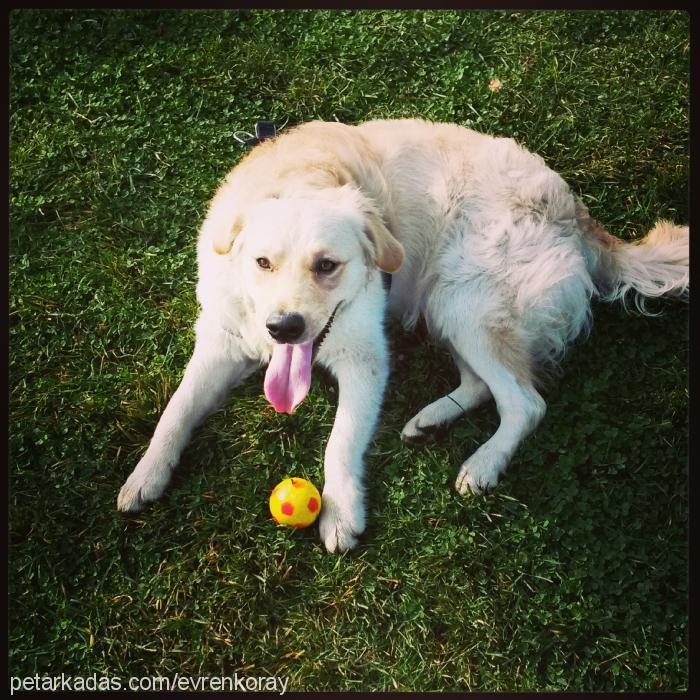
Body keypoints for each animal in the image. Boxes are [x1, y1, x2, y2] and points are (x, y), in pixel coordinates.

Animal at [116, 119, 688, 552]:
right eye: (262, 263)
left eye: (327, 266)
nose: (284, 328)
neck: (299, 177)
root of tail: (577, 214)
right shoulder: (220, 341)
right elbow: (177, 410)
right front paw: (145, 476)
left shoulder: (365, 359)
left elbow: (341, 441)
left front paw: (341, 514)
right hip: (446, 304)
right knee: (482, 385)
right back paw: (430, 420)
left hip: (466, 301)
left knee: (526, 403)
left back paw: (483, 464)